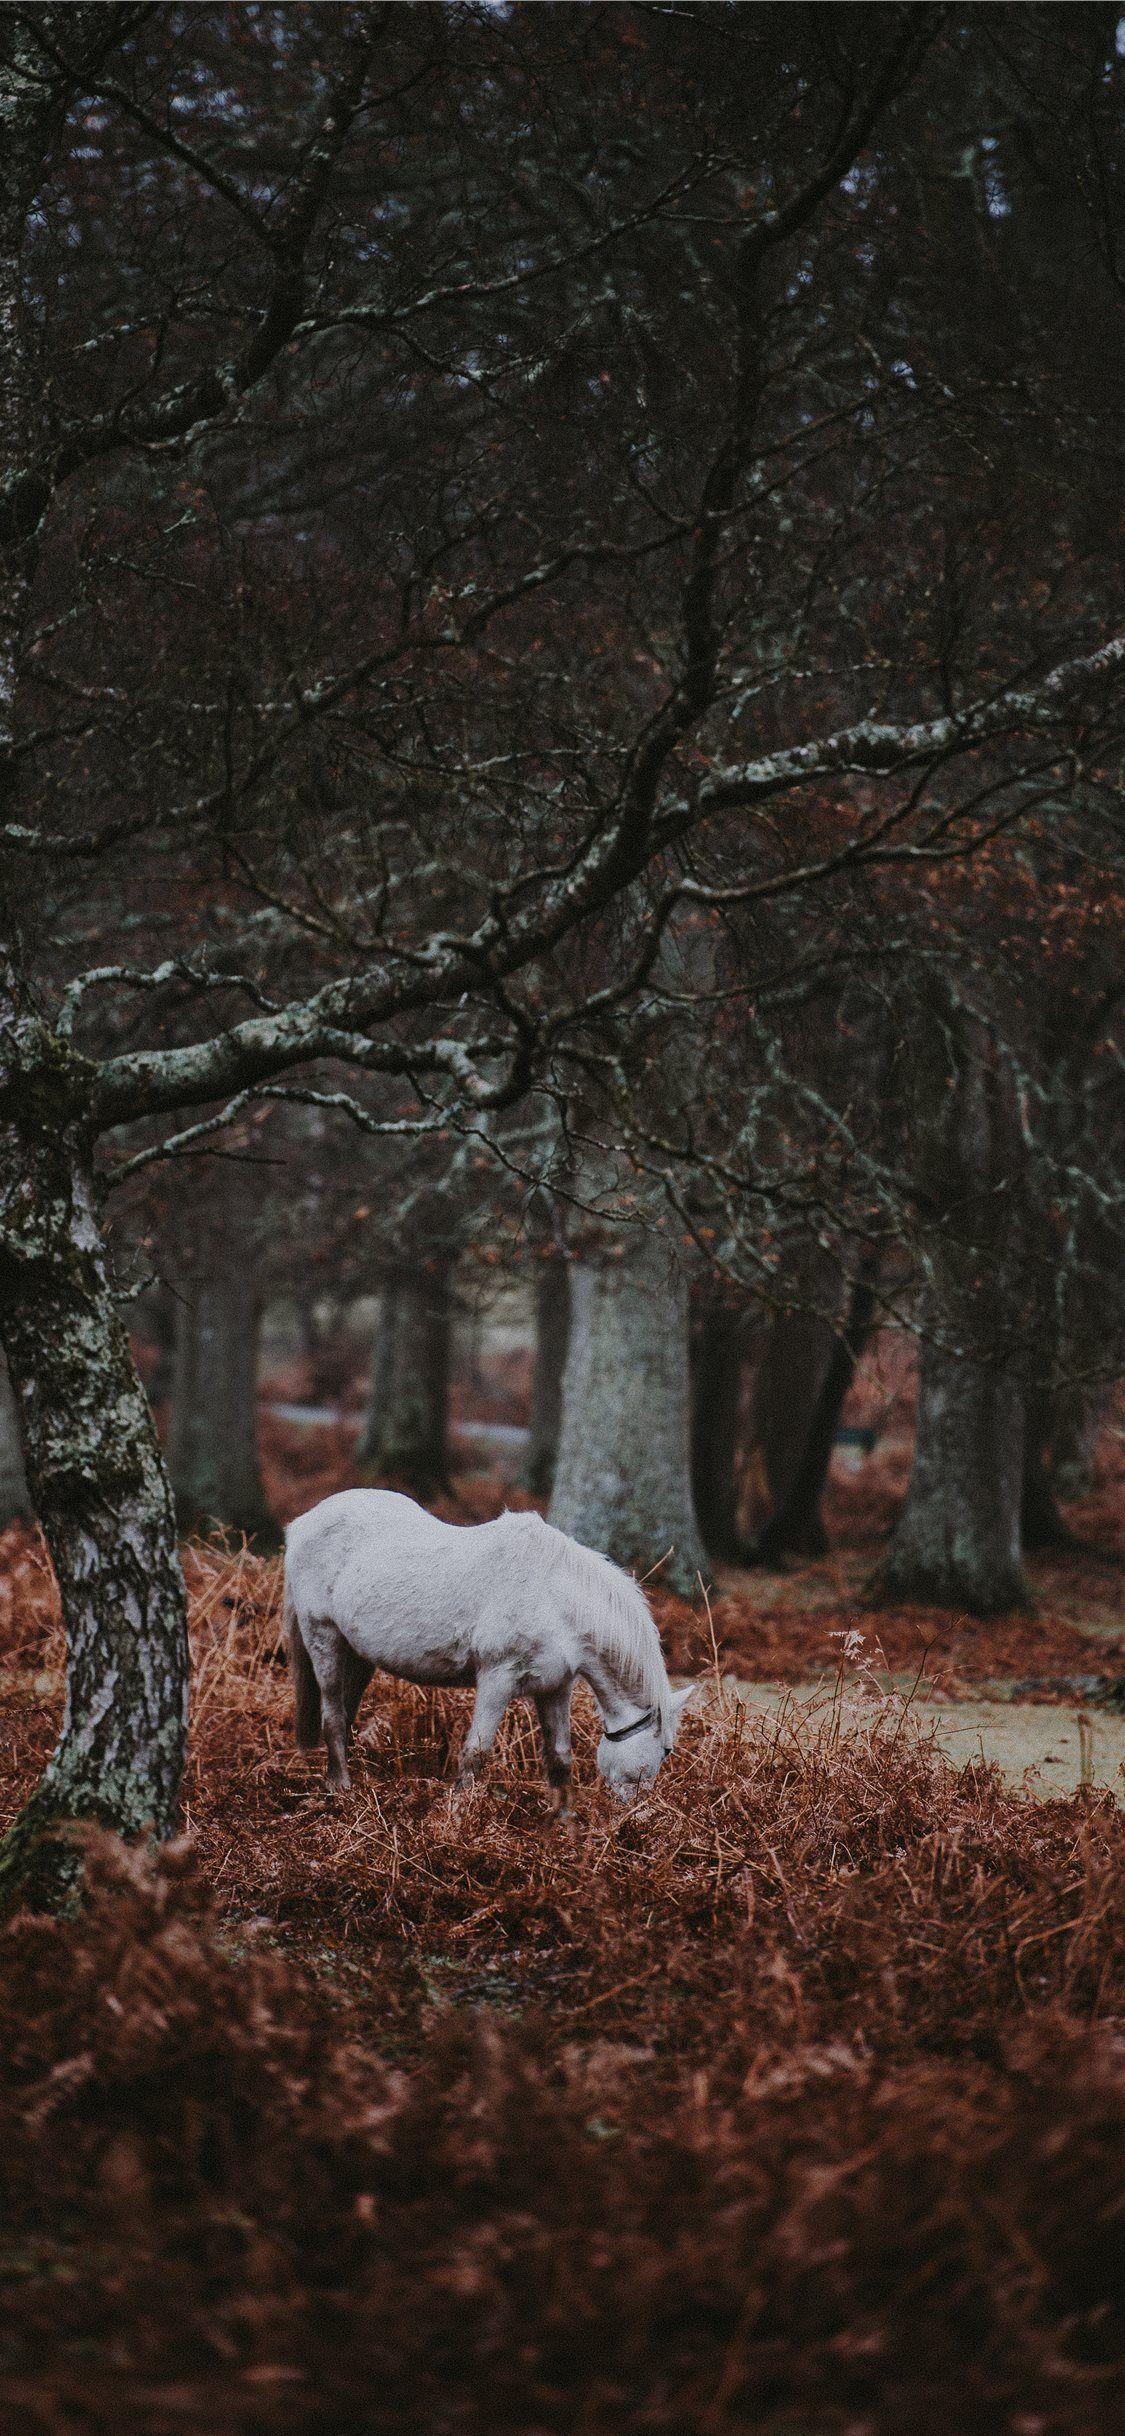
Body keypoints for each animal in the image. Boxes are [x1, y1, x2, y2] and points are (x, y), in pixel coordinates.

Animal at [283, 1487, 695, 1806]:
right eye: (666, 1751)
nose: (636, 1811)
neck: (554, 1599)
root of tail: (301, 1524)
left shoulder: (555, 1688)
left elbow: (560, 1758)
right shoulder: (497, 1680)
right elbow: (475, 1754)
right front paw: (456, 1816)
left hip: (358, 1655)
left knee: (345, 1713)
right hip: (323, 1637)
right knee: (333, 1715)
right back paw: (341, 1788)